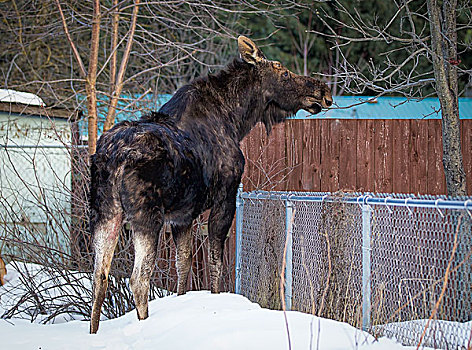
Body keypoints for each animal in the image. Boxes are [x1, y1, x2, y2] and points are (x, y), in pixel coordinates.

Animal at [88, 35, 332, 334]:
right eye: (284, 73)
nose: (323, 91)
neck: (237, 120)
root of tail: (114, 157)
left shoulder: (181, 216)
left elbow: (183, 267)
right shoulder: (225, 198)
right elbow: (216, 263)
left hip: (105, 212)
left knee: (99, 276)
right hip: (146, 215)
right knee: (139, 279)